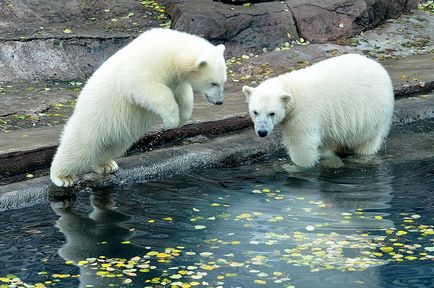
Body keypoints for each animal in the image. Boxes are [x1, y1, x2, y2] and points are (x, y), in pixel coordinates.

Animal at [50, 28, 227, 187]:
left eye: (223, 81)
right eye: (213, 83)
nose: (219, 102)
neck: (172, 49)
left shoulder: (176, 78)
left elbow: (183, 93)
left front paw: (183, 117)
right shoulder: (148, 65)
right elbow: (146, 87)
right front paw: (171, 121)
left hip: (116, 131)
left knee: (111, 146)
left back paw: (107, 165)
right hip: (93, 120)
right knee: (78, 149)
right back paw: (63, 177)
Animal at [242, 53, 396, 169]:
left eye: (272, 113)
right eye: (255, 112)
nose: (262, 132)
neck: (292, 90)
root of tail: (380, 68)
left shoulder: (303, 113)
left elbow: (303, 145)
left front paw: (294, 167)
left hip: (372, 112)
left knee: (368, 141)